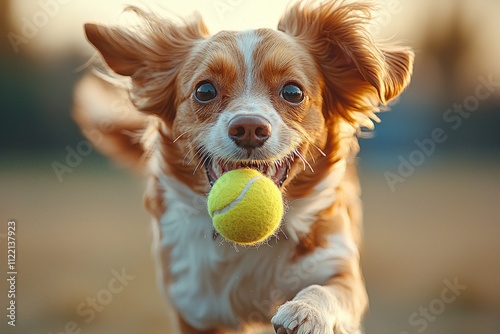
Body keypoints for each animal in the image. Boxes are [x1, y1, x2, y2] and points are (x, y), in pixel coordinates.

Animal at [72, 1, 412, 332]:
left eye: (293, 92)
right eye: (205, 91)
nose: (249, 127)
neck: (250, 246)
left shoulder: (338, 267)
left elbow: (326, 290)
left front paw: (306, 312)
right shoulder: (194, 308)